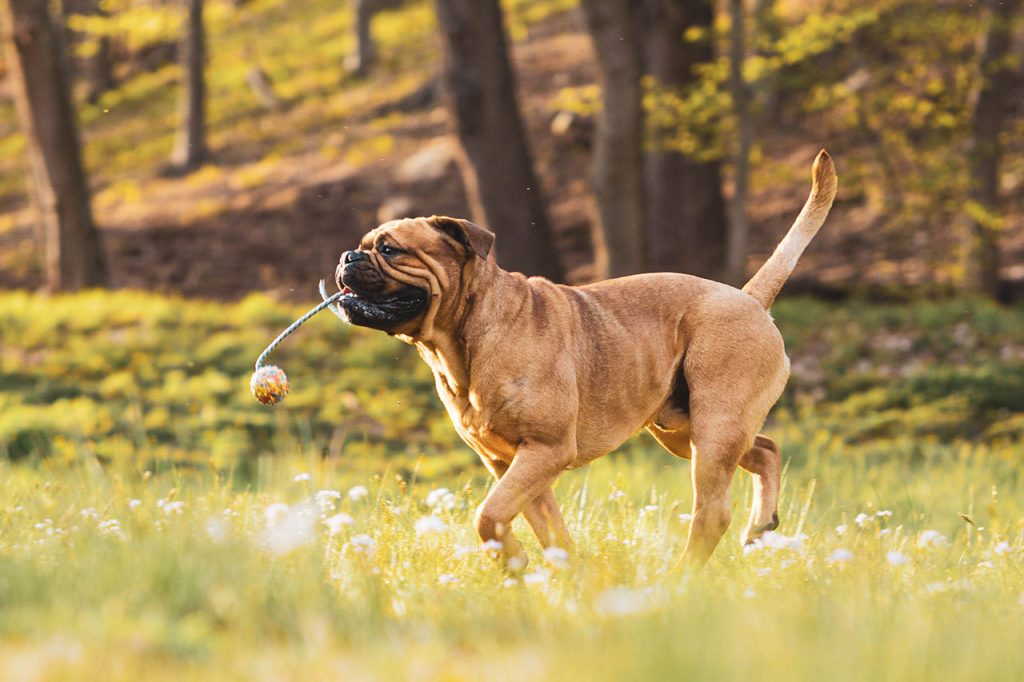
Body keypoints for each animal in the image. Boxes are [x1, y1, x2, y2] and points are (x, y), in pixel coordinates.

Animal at [331, 148, 835, 561]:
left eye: (390, 249)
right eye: (362, 245)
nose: (346, 256)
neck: (464, 339)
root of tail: (749, 298)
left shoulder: (543, 451)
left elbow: (488, 516)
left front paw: (514, 563)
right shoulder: (510, 464)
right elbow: (543, 528)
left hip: (714, 428)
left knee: (712, 513)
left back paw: (684, 575)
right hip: (683, 430)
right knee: (766, 449)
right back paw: (760, 527)